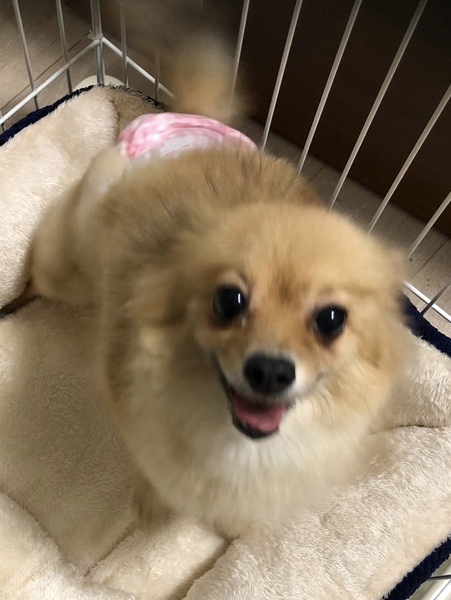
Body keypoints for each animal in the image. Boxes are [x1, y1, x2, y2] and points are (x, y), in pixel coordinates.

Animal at [7, 3, 411, 539]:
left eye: (331, 320)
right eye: (229, 300)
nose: (270, 370)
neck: (236, 439)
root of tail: (193, 118)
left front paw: (233, 527)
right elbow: (152, 472)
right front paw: (151, 507)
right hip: (68, 264)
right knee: (40, 274)